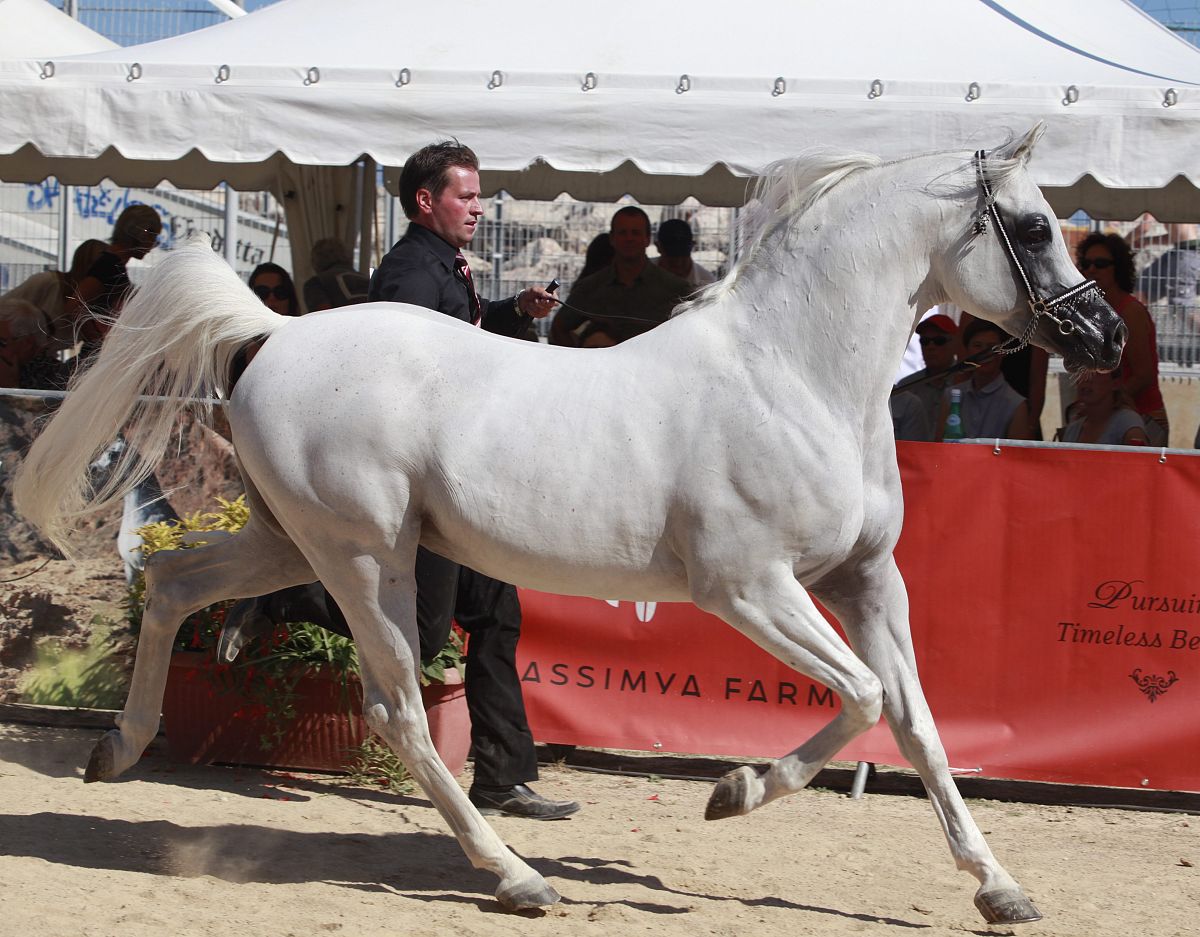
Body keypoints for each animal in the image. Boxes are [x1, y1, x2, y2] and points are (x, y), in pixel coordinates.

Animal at [12, 123, 1125, 924]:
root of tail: (273, 332)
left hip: (293, 541)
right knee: (397, 709)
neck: (793, 375)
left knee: (173, 587)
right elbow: (858, 696)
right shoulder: (748, 586)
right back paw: (515, 875)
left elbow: (917, 719)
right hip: (366, 558)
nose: (1106, 333)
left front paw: (1001, 888)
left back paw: (121, 746)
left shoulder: (864, 578)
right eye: (1032, 227)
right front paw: (735, 789)